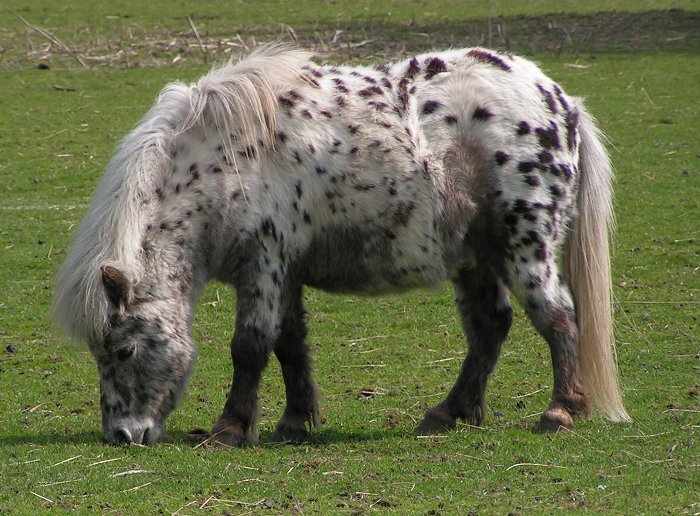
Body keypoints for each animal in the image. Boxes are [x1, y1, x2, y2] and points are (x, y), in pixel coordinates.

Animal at [50, 44, 628, 446]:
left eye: (123, 350)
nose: (123, 435)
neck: (220, 161)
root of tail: (562, 103)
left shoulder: (263, 264)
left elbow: (250, 347)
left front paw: (231, 429)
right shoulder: (284, 271)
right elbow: (290, 344)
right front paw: (293, 422)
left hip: (525, 244)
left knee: (557, 316)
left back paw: (558, 412)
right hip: (474, 254)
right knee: (490, 327)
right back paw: (449, 413)